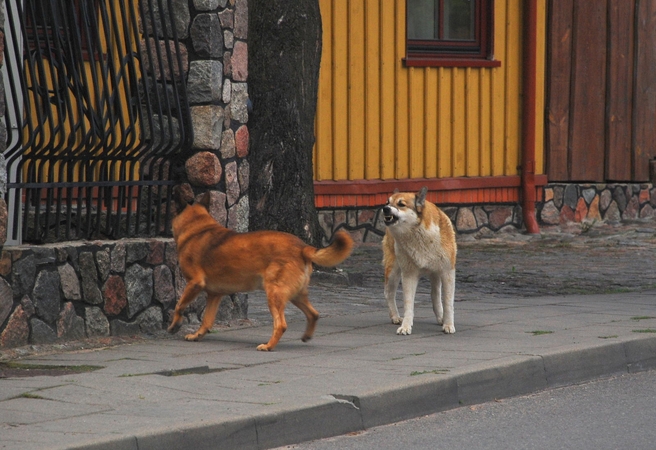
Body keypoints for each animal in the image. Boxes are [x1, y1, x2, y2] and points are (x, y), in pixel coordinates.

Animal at [169, 192, 354, 350]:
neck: (197, 228)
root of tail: (303, 247)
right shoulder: (215, 295)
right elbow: (207, 320)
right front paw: (197, 335)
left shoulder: (195, 284)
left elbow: (179, 305)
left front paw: (174, 326)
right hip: (296, 295)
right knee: (314, 314)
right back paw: (306, 336)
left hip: (274, 294)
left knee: (281, 325)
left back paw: (268, 346)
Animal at [382, 185, 458, 334]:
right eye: (388, 202)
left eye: (401, 204)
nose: (385, 208)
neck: (418, 233)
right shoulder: (409, 274)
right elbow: (408, 304)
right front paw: (405, 326)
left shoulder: (447, 272)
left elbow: (447, 302)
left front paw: (448, 324)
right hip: (393, 270)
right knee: (389, 293)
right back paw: (395, 317)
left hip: (436, 274)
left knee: (435, 294)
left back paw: (441, 318)